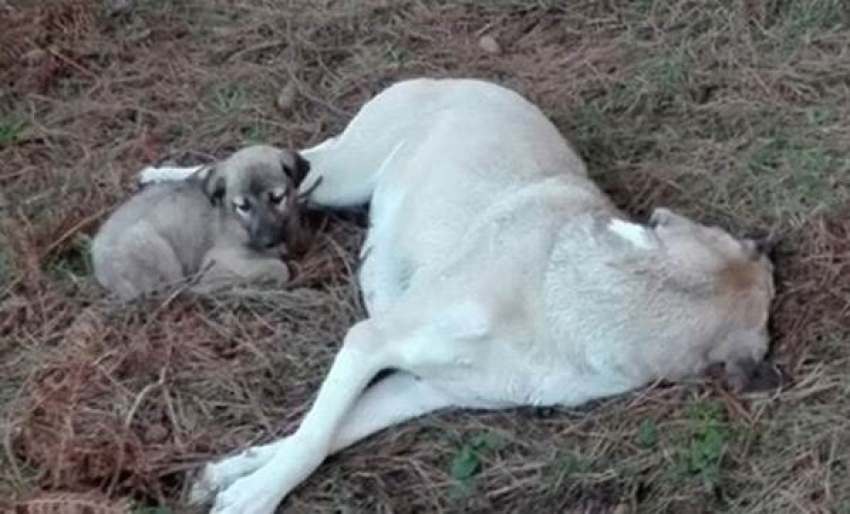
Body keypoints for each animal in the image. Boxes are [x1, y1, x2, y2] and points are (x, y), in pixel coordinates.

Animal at [91, 144, 308, 298]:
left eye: (277, 198)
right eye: (242, 206)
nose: (268, 241)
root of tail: (99, 264)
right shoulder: (219, 258)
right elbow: (279, 267)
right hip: (152, 246)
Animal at [142, 78, 780, 510]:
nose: (773, 250)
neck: (574, 299)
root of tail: (470, 79)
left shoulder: (420, 388)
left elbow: (326, 434)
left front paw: (236, 473)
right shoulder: (369, 340)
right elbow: (314, 435)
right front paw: (254, 497)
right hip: (335, 178)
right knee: (250, 164)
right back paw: (166, 176)